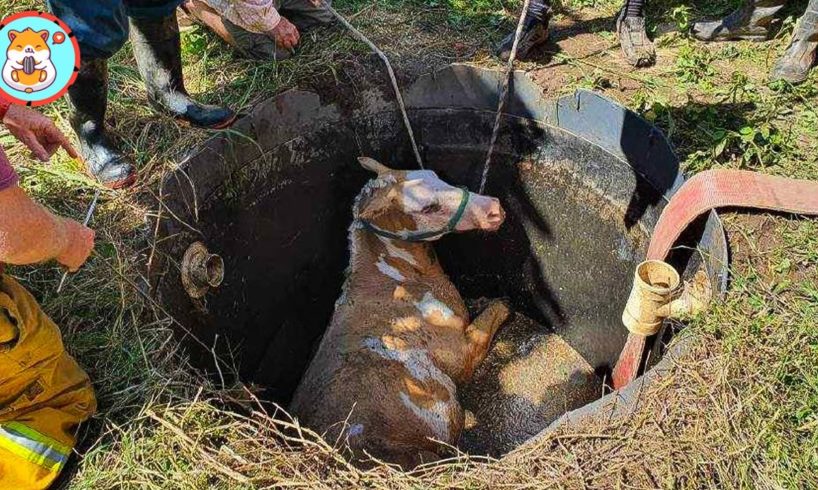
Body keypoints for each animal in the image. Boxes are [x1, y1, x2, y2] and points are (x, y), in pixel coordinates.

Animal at [292, 157, 510, 468]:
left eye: (436, 175)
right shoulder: (462, 355)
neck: (395, 278)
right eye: (428, 208)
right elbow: (499, 308)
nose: (494, 208)